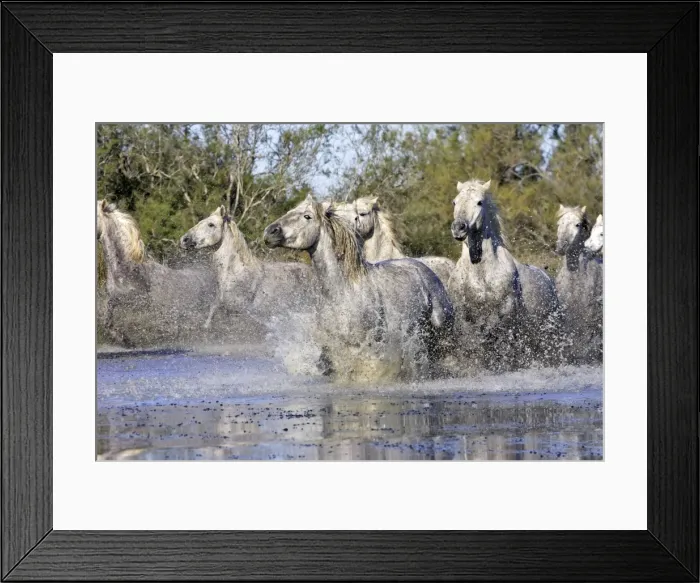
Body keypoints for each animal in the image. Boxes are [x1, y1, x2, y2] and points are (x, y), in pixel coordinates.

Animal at [448, 180, 562, 369]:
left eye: (479, 202)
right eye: (454, 202)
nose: (459, 228)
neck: (481, 274)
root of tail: (548, 279)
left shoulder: (505, 309)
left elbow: (489, 333)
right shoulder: (463, 312)